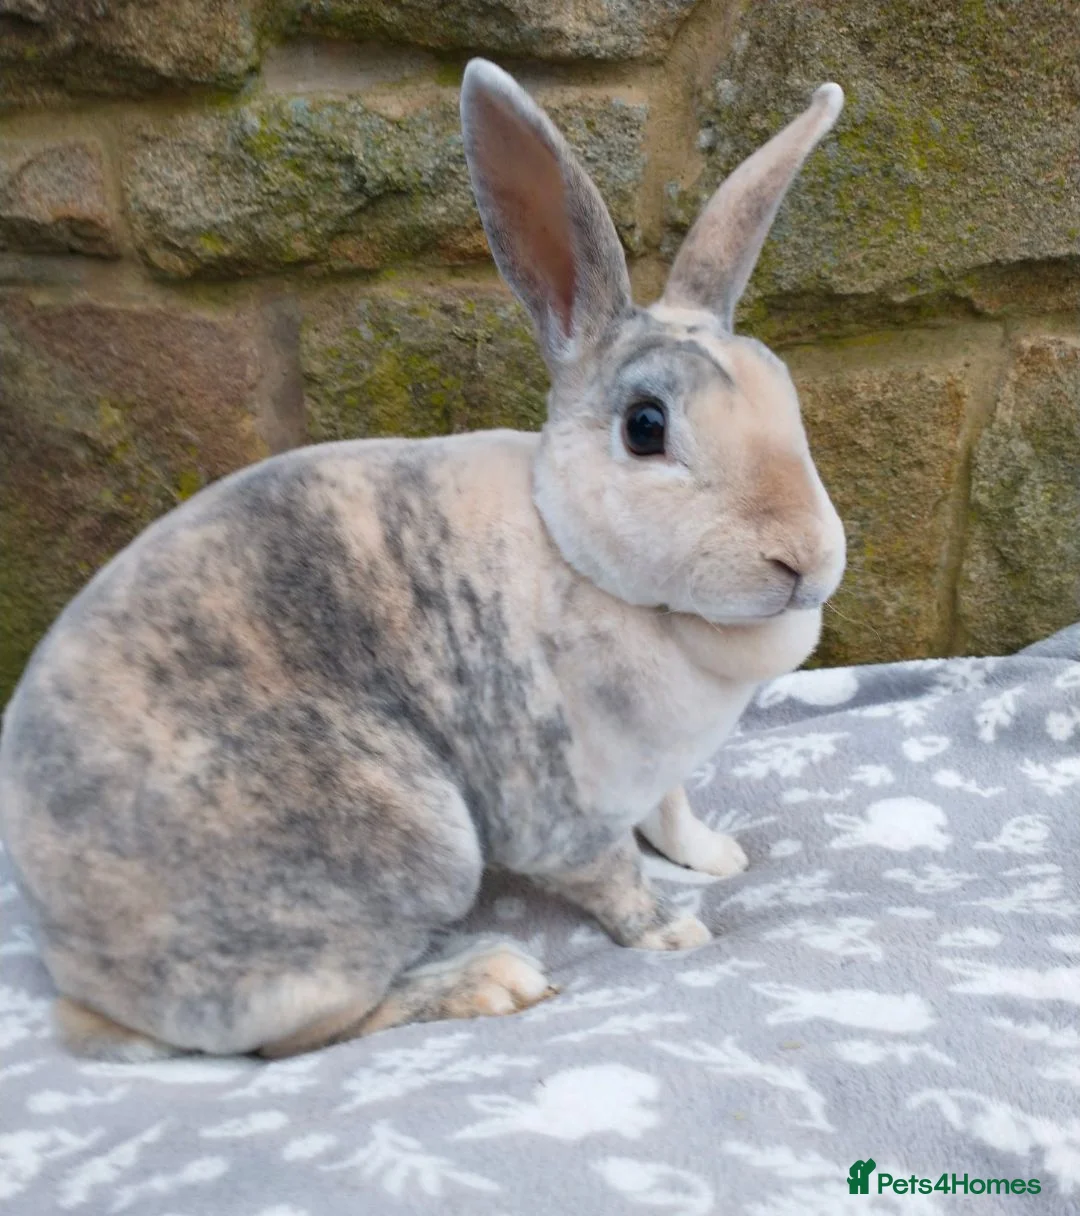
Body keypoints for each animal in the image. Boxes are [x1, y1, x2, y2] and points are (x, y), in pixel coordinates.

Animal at [0, 59, 845, 1060]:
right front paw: (674, 931)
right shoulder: (565, 807)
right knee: (301, 1031)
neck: (581, 559)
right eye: (646, 427)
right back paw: (490, 980)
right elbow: (612, 881)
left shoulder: (660, 771)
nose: (804, 559)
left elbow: (674, 810)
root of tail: (85, 980)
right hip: (411, 841)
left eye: (787, 391)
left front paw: (717, 856)